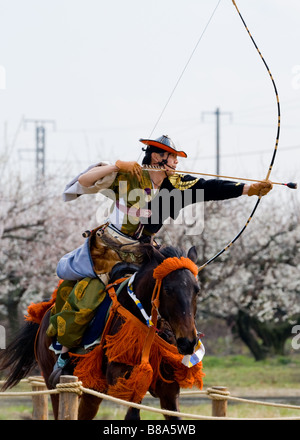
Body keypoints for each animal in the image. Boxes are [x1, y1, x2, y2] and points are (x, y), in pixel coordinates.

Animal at [0, 244, 204, 420]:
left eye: (197, 290)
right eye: (168, 289)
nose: (188, 341)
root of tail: (44, 314)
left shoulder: (168, 390)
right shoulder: (121, 378)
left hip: (93, 391)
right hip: (53, 381)